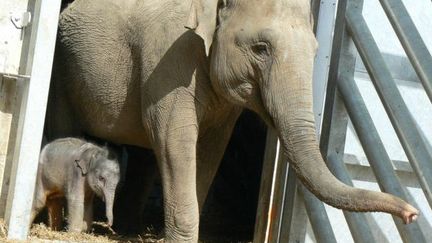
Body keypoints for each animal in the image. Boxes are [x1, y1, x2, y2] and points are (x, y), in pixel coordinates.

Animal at [48, 0, 418, 241]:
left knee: (142, 155)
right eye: (261, 48)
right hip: (62, 70)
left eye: (316, 52)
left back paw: (128, 231)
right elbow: (174, 141)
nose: (412, 214)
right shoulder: (168, 60)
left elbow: (210, 149)